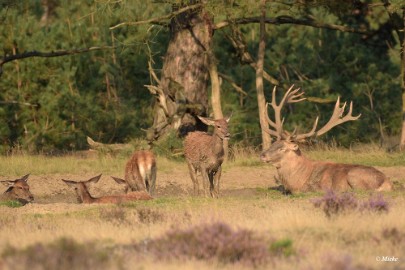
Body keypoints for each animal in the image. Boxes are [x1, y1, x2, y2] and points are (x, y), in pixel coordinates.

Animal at [258, 85, 392, 193]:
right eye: (273, 143)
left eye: (282, 148)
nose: (262, 155)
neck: (298, 179)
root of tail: (387, 183)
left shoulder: (317, 187)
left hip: (354, 175)